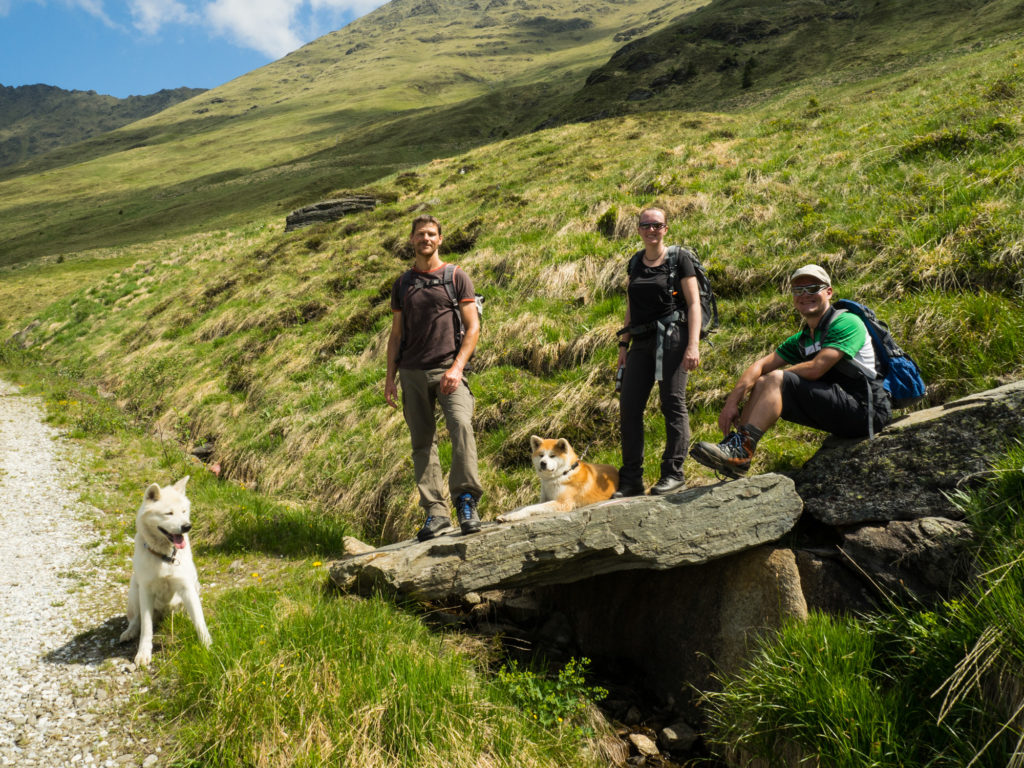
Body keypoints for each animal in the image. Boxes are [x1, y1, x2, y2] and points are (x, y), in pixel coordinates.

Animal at [118, 475, 209, 667]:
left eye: (183, 511)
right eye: (169, 513)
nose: (187, 526)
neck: (164, 557)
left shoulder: (187, 587)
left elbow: (199, 620)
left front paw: (207, 645)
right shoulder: (145, 591)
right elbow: (146, 628)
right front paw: (143, 653)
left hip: (194, 586)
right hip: (134, 589)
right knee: (136, 619)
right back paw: (129, 632)